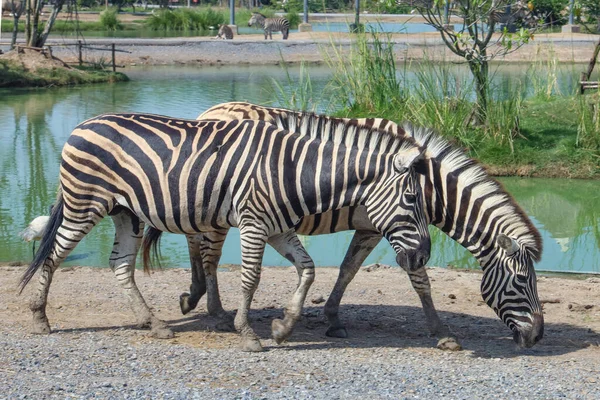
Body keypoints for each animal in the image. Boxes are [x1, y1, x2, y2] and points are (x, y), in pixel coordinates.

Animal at [19, 111, 432, 352]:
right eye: (413, 199)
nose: (424, 255)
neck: (294, 171)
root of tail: (82, 124)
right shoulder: (253, 223)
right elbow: (251, 278)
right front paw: (248, 334)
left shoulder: (279, 229)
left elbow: (308, 269)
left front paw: (283, 328)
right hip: (84, 204)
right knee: (53, 254)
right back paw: (39, 319)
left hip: (126, 212)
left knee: (120, 264)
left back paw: (155, 325)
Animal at [176, 101, 548, 348]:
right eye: (522, 281)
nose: (537, 337)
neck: (430, 184)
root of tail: (208, 112)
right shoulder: (394, 227)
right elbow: (420, 281)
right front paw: (441, 333)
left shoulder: (374, 227)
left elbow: (348, 270)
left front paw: (333, 319)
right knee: (208, 253)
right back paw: (215, 310)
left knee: (193, 240)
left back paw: (193, 296)